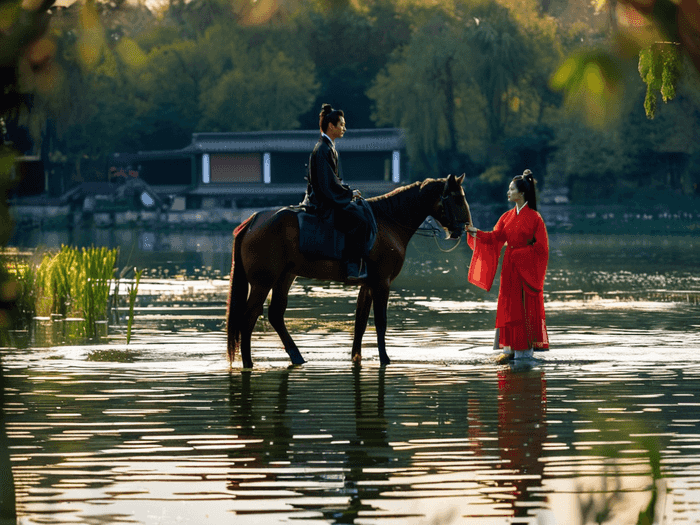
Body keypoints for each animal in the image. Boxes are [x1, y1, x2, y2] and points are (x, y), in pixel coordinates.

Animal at [228, 174, 470, 366]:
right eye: (457, 198)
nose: (465, 227)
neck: (388, 222)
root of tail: (253, 220)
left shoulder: (368, 285)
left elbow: (360, 322)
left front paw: (356, 357)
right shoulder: (382, 283)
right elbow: (380, 322)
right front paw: (385, 359)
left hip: (285, 276)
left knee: (275, 315)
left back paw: (296, 356)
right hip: (263, 282)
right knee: (248, 318)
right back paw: (248, 362)